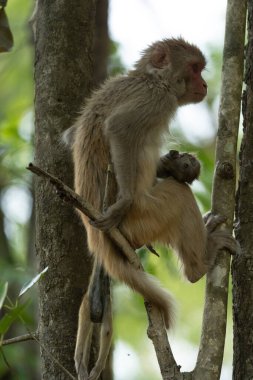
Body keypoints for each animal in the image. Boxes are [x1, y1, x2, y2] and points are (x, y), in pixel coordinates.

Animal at [63, 38, 237, 380]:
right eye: (194, 68)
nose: (204, 84)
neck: (152, 78)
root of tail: (97, 239)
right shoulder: (157, 99)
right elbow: (119, 129)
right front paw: (123, 201)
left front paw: (176, 164)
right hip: (143, 220)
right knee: (178, 196)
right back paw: (200, 264)